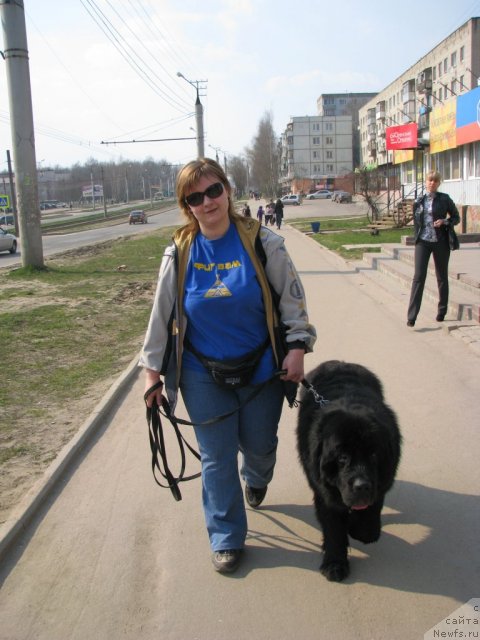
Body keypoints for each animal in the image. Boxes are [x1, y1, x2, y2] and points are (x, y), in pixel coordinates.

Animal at [296, 360, 402, 580]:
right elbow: (334, 528)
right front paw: (335, 564)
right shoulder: (325, 490)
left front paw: (358, 526)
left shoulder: (380, 484)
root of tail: (339, 362)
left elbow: (368, 529)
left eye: (374, 455)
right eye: (342, 457)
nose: (361, 486)